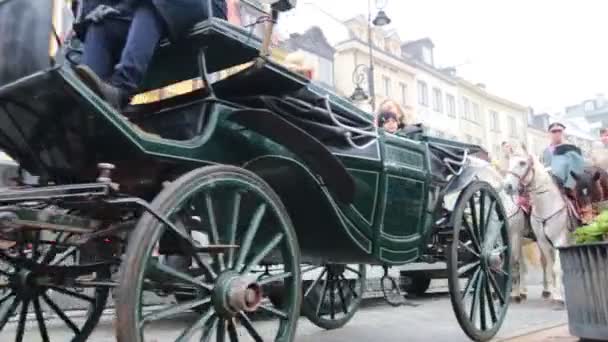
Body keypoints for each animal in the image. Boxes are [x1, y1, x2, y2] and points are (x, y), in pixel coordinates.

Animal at [504, 151, 576, 306]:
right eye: (509, 162)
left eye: (522, 163)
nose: (507, 186)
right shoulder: (541, 242)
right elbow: (547, 267)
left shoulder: (559, 240)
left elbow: (556, 268)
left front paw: (558, 298)